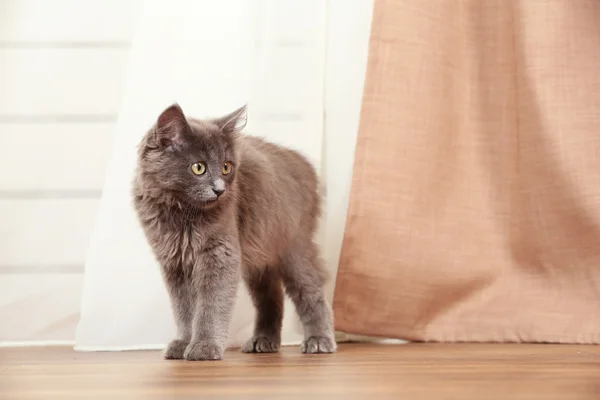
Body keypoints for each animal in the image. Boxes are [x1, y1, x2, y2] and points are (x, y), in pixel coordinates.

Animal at [132, 104, 338, 360]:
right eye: (198, 168)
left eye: (226, 167)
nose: (220, 190)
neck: (180, 213)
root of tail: (303, 162)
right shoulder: (175, 263)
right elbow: (184, 309)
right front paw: (183, 343)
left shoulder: (220, 254)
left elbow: (211, 305)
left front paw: (204, 346)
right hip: (259, 259)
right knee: (271, 298)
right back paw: (264, 340)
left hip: (293, 249)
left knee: (312, 292)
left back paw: (319, 340)